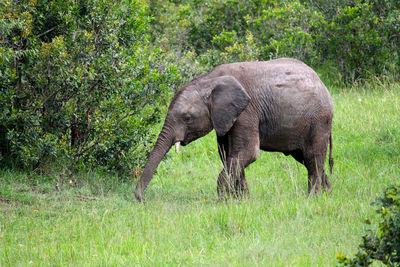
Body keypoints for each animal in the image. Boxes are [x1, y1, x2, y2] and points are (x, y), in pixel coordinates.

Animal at [135, 57, 334, 202]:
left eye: (187, 118)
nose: (141, 199)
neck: (209, 80)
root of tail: (321, 82)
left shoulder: (247, 111)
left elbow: (247, 152)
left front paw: (222, 201)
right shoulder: (225, 117)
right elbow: (229, 154)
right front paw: (241, 200)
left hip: (319, 121)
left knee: (313, 158)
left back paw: (312, 198)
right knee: (306, 159)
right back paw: (327, 194)